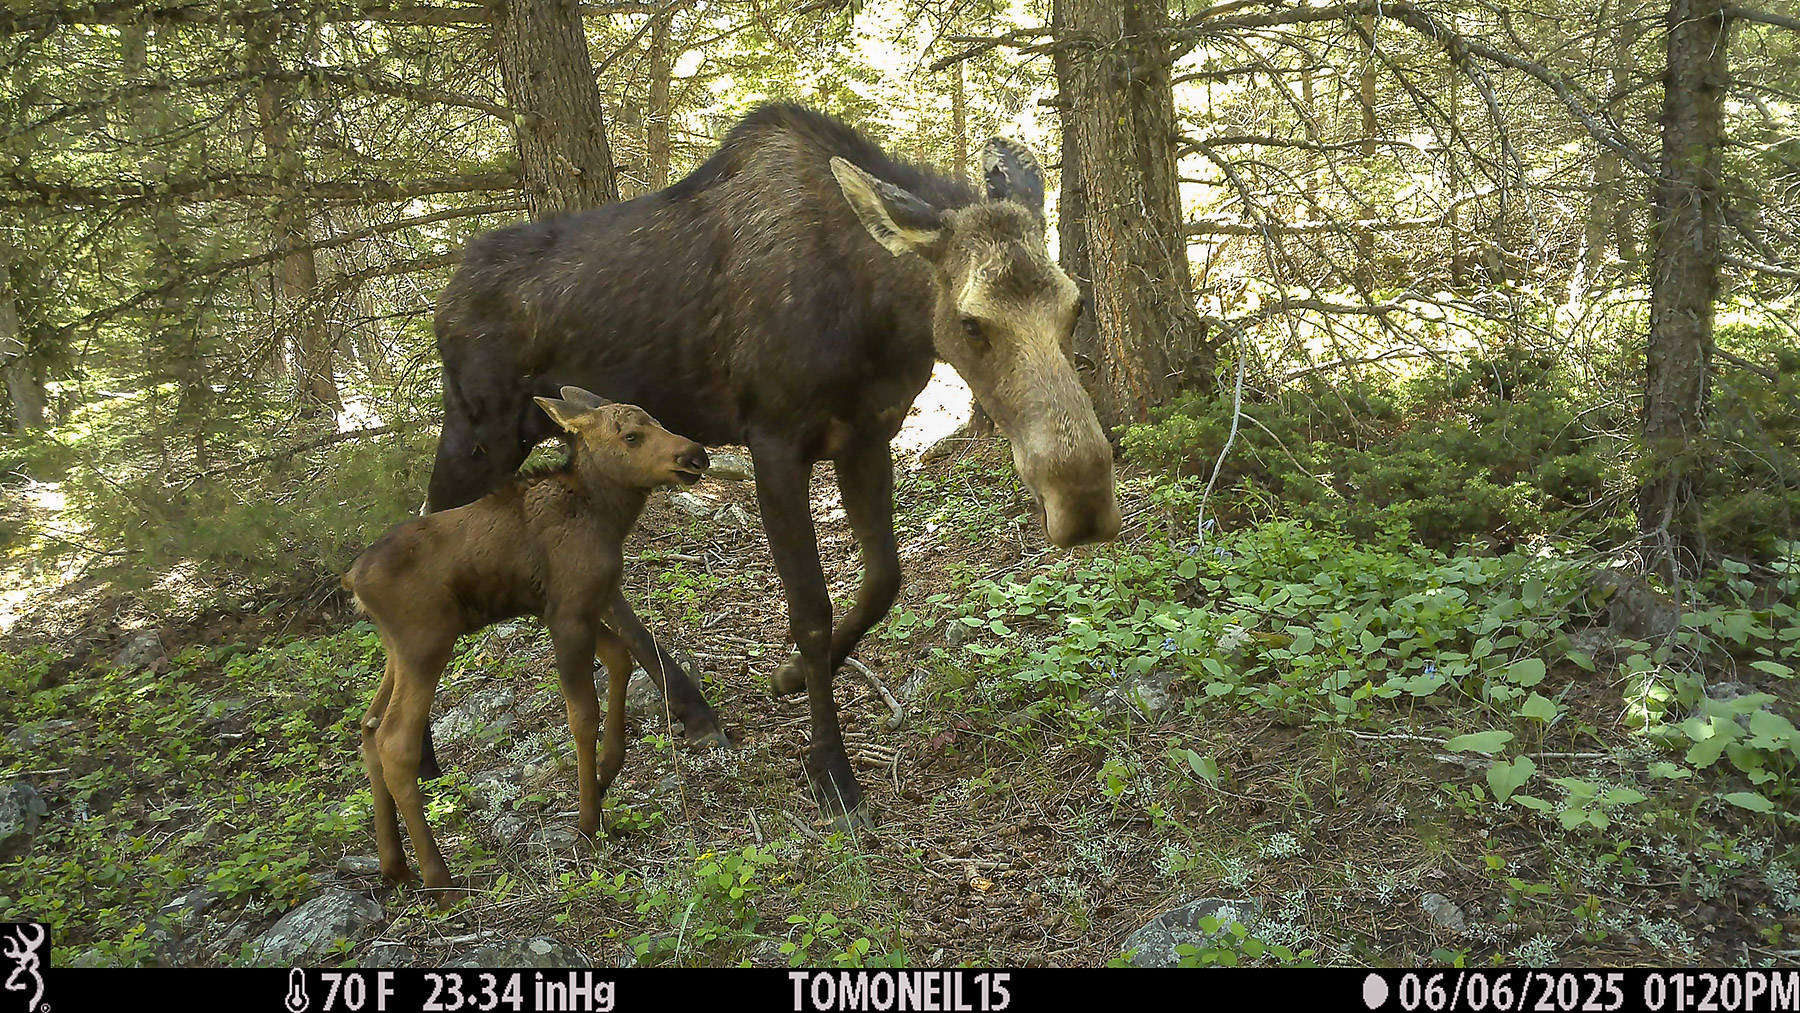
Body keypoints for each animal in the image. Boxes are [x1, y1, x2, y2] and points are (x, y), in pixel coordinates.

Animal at [344, 387, 708, 901]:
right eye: (632, 436)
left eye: (657, 420)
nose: (695, 454)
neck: (606, 514)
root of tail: (352, 580)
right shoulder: (568, 612)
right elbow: (582, 714)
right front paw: (589, 817)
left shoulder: (579, 603)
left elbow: (620, 657)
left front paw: (607, 769)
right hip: (426, 643)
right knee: (396, 742)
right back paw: (440, 880)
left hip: (397, 651)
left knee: (369, 726)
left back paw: (394, 865)